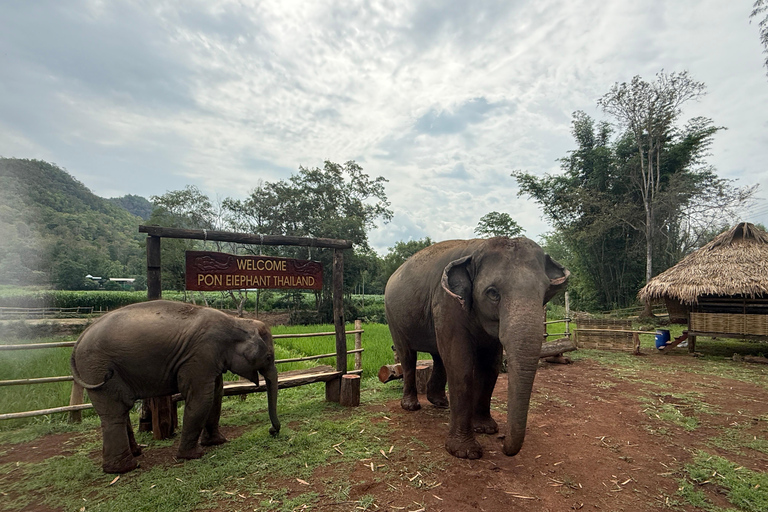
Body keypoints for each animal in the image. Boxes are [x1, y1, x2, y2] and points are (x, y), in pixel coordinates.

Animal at [70, 300, 280, 473]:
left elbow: (216, 393)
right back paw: (125, 468)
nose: (273, 431)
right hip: (97, 368)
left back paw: (135, 454)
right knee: (115, 411)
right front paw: (194, 455)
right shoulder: (200, 354)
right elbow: (202, 397)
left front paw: (217, 442)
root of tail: (80, 338)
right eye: (269, 357)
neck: (237, 321)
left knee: (120, 411)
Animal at [384, 236, 568, 459]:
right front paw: (465, 452)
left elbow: (490, 365)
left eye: (544, 292)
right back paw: (411, 406)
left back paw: (440, 402)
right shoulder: (447, 303)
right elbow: (460, 364)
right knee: (407, 356)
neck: (477, 248)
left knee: (438, 356)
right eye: (493, 293)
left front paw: (486, 429)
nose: (502, 444)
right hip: (393, 317)